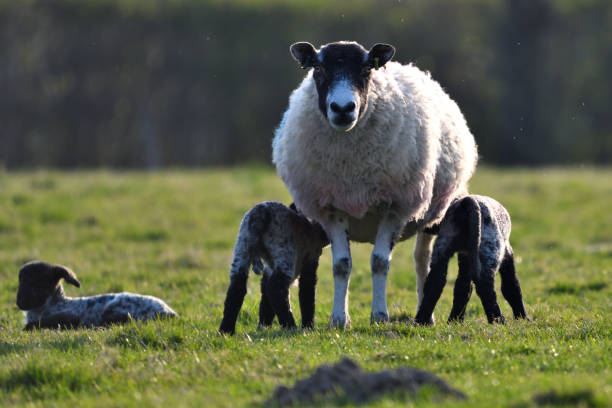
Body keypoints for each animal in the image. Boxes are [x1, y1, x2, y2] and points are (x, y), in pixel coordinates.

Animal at [15, 260, 177, 330]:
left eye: (37, 285)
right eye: (20, 282)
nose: (19, 303)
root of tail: (170, 313)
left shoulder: (69, 317)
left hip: (114, 309)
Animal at [218, 201, 328, 334]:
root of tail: (261, 214)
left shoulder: (269, 269)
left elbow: (265, 297)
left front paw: (263, 326)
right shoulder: (311, 260)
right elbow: (307, 293)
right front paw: (309, 327)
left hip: (242, 247)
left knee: (236, 289)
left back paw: (226, 331)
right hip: (284, 250)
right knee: (275, 288)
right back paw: (291, 327)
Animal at [272, 39, 478, 326]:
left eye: (366, 69)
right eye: (318, 69)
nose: (343, 109)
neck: (352, 168)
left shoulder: (395, 207)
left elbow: (380, 262)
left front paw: (379, 315)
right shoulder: (330, 209)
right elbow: (341, 265)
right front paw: (339, 319)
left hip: (431, 212)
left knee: (422, 259)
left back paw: (425, 312)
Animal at [414, 194, 528, 326]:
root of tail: (466, 202)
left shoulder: (465, 256)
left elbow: (462, 288)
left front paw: (455, 321)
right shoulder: (507, 252)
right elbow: (512, 286)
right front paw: (523, 318)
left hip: (444, 245)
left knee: (435, 281)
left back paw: (422, 321)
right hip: (489, 248)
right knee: (485, 286)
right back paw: (498, 321)